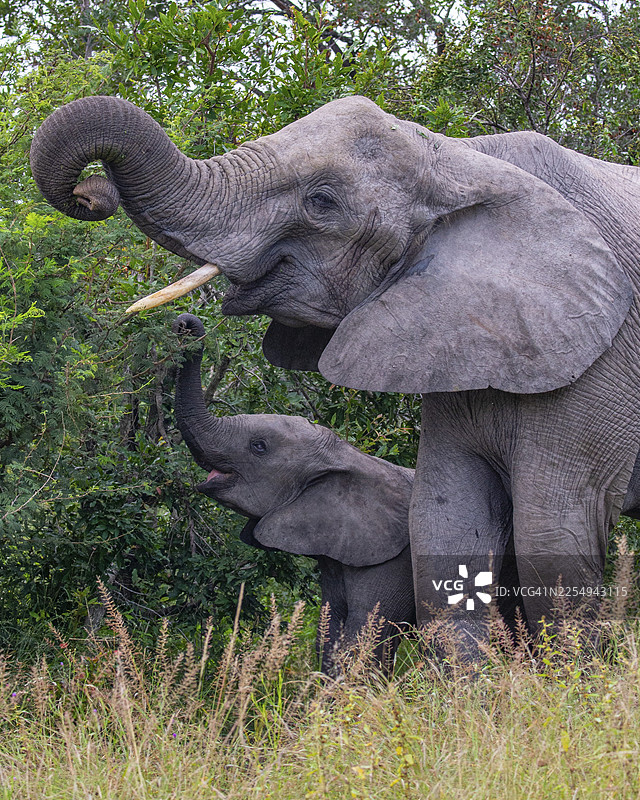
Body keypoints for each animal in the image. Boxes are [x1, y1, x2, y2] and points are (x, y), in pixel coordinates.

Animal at [173, 312, 415, 673]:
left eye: (258, 447)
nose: (186, 322)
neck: (350, 457)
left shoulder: (393, 559)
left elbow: (364, 638)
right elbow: (329, 635)